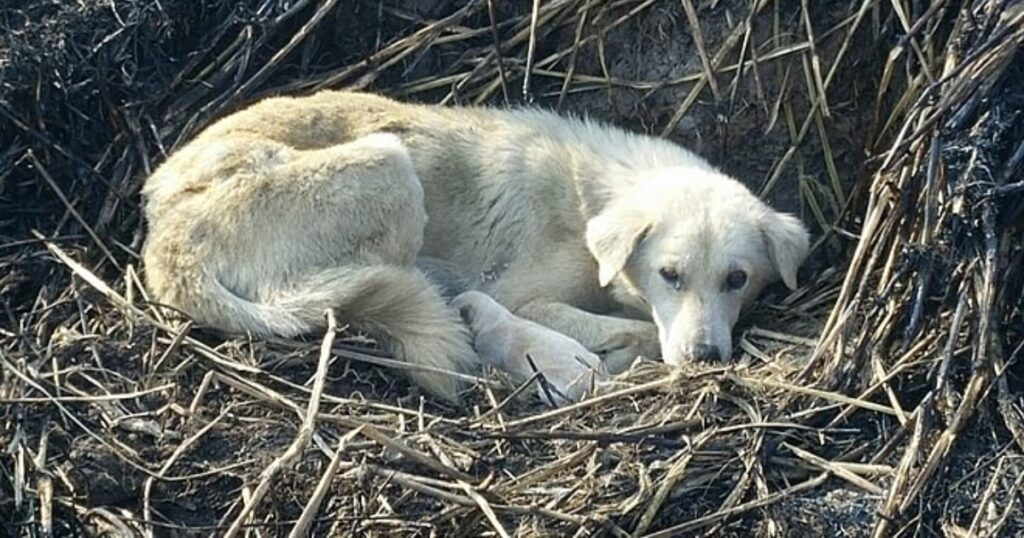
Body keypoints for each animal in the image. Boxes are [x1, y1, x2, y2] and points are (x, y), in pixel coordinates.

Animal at [140, 91, 806, 401]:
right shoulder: (523, 296)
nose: (705, 360)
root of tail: (164, 241)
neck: (592, 194)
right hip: (391, 165)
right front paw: (621, 351)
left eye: (737, 279)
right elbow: (625, 328)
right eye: (670, 274)